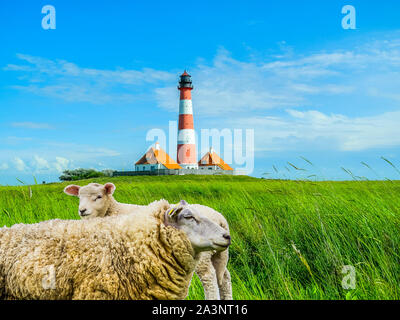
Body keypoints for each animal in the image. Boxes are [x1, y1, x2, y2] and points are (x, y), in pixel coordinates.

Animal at [65, 182, 234, 300]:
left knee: (209, 278)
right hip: (220, 254)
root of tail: (220, 219)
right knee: (224, 277)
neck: (113, 210)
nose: (82, 210)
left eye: (98, 197)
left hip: (204, 256)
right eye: (79, 197)